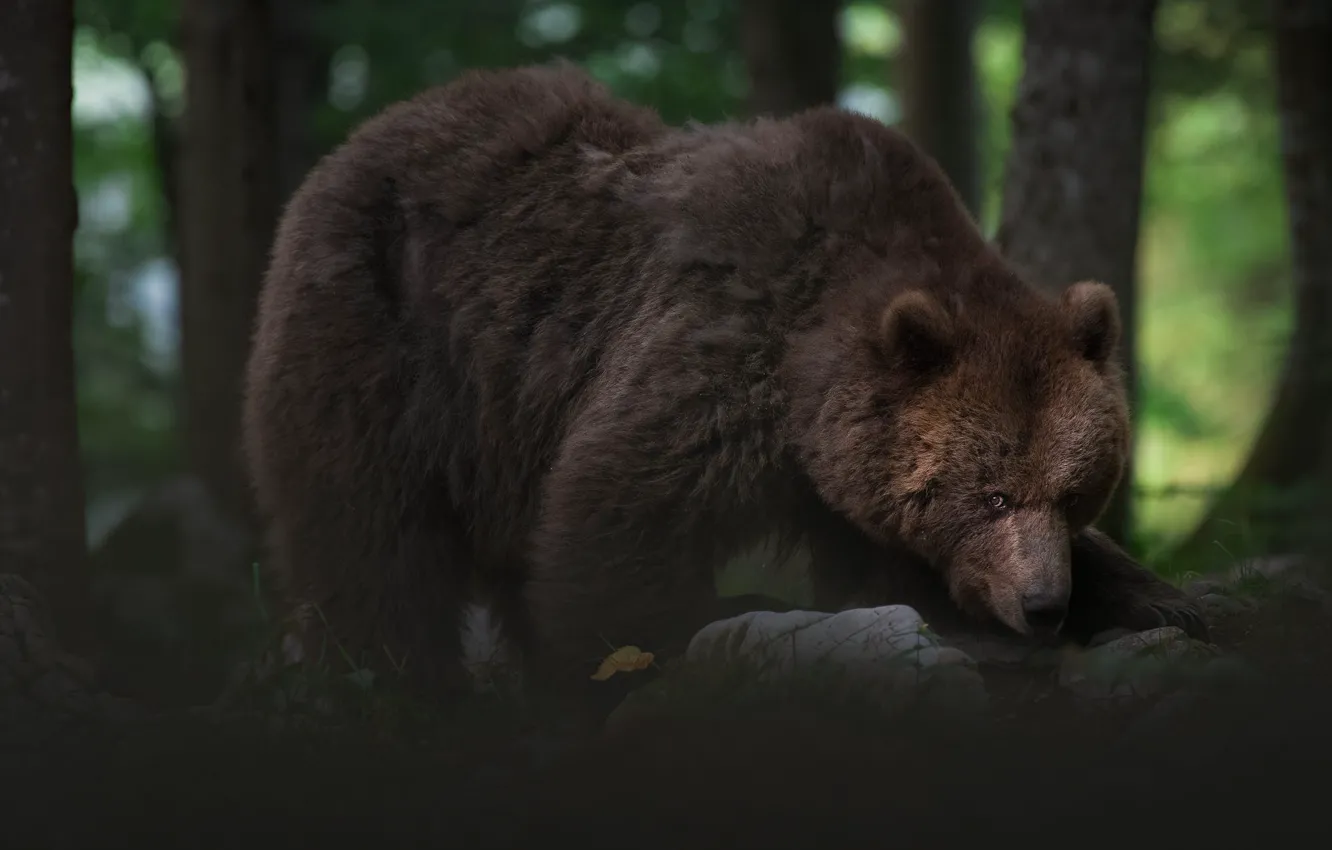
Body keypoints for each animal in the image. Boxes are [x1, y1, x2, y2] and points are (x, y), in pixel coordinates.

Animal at [241, 62, 1208, 705]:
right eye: (994, 493)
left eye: (1075, 492)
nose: (1042, 604)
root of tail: (363, 134)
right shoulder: (717, 354)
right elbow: (611, 522)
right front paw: (636, 655)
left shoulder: (844, 472)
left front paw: (1172, 603)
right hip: (382, 339)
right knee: (371, 540)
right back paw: (398, 684)